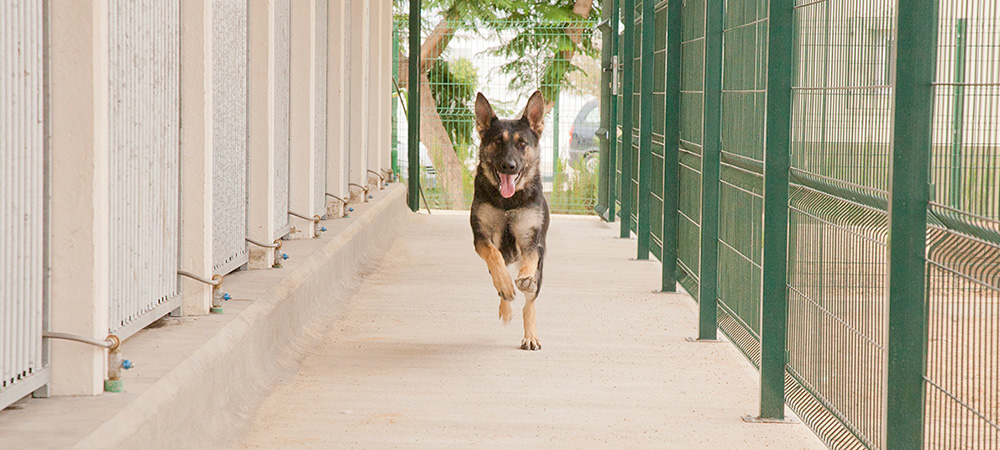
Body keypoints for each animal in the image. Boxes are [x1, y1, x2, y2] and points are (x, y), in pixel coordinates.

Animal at [470, 90, 552, 352]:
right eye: (498, 141)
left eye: (522, 143)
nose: (509, 166)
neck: (508, 202)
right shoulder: (481, 237)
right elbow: (494, 258)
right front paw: (505, 287)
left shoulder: (532, 239)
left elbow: (530, 259)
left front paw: (524, 278)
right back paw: (505, 301)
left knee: (530, 302)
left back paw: (530, 335)